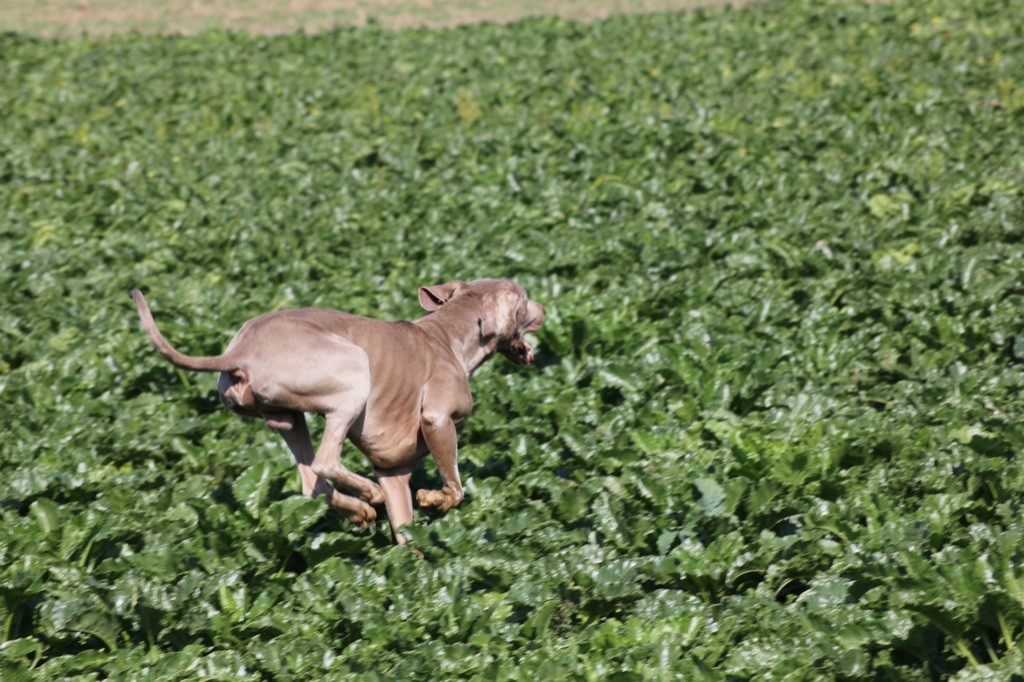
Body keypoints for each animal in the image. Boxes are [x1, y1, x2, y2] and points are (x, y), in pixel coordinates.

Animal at [130, 276, 544, 540]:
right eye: (524, 299)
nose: (544, 307)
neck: (450, 334)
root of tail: (239, 351)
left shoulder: (393, 473)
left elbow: (405, 532)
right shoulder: (437, 420)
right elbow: (455, 489)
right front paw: (434, 499)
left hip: (288, 418)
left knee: (311, 484)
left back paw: (358, 510)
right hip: (354, 374)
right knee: (325, 462)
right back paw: (368, 497)